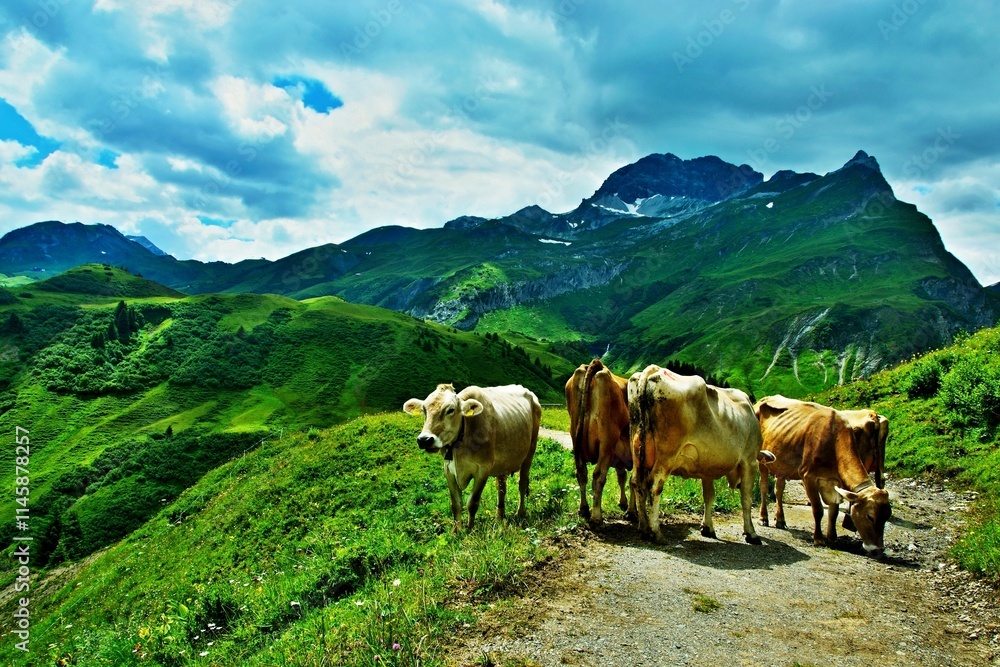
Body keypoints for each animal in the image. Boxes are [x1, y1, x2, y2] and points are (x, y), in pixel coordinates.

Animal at [403, 383, 541, 532]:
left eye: (450, 410)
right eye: (424, 410)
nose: (424, 440)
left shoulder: (483, 469)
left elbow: (472, 502)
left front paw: (469, 530)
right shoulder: (448, 470)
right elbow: (456, 504)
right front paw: (456, 531)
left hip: (530, 451)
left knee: (522, 484)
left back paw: (520, 512)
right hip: (502, 461)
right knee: (501, 487)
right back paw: (500, 516)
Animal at [565, 359, 635, 525]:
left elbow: (622, 478)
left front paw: (623, 503)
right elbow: (632, 481)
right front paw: (631, 512)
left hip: (576, 439)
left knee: (581, 473)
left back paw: (584, 509)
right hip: (606, 442)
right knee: (598, 477)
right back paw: (596, 517)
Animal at [627, 365, 770, 545]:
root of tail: (653, 370)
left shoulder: (707, 467)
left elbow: (709, 496)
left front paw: (707, 528)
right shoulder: (749, 460)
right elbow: (746, 498)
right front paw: (751, 533)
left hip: (638, 451)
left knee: (637, 483)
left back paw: (644, 529)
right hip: (666, 455)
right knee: (653, 486)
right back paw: (656, 533)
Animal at [755, 395, 892, 557]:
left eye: (887, 517)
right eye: (870, 516)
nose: (878, 550)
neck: (834, 439)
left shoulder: (836, 482)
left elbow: (833, 512)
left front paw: (832, 537)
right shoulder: (808, 477)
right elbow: (818, 510)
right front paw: (819, 539)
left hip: (783, 464)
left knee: (779, 489)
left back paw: (780, 520)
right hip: (763, 462)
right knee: (764, 487)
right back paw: (763, 517)